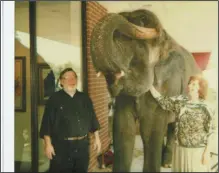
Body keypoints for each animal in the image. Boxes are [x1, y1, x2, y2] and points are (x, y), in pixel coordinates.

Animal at [90, 9, 201, 172]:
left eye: (139, 47)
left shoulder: (168, 86)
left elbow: (150, 131)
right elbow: (123, 129)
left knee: (171, 126)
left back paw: (167, 163)